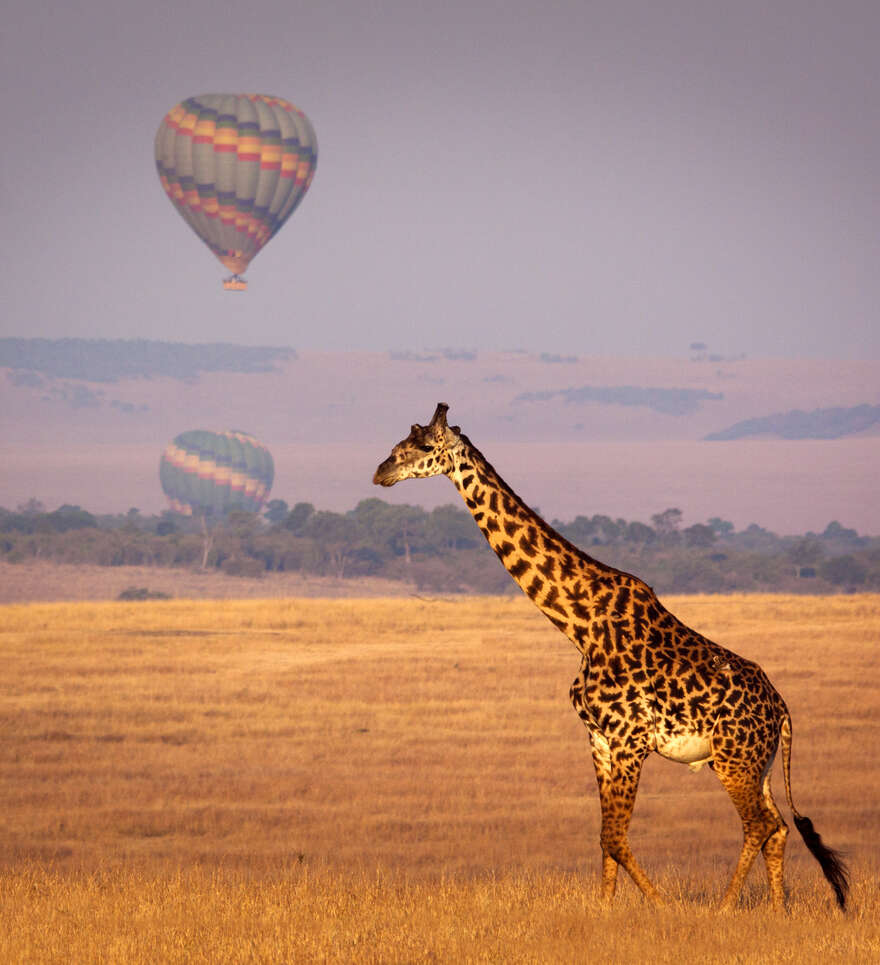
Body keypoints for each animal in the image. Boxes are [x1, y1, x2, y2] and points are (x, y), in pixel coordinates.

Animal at [370, 402, 844, 908]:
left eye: (421, 445)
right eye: (400, 442)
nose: (381, 472)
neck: (580, 624)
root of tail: (782, 709)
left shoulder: (629, 739)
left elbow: (615, 837)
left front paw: (662, 907)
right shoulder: (597, 738)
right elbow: (604, 838)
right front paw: (605, 910)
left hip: (733, 759)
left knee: (760, 823)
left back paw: (722, 909)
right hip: (759, 763)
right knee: (779, 827)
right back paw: (777, 909)